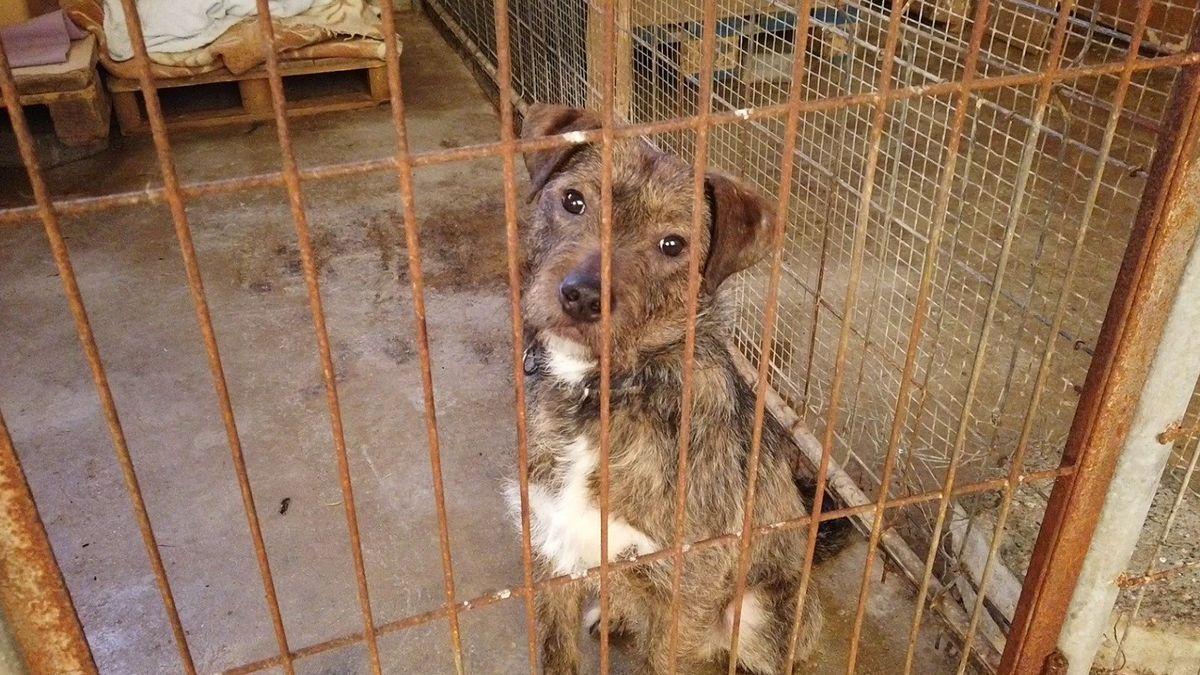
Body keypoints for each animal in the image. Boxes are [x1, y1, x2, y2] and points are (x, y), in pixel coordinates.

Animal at [511, 103, 849, 672]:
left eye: (673, 244)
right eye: (574, 201)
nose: (582, 297)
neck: (603, 393)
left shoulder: (684, 591)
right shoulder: (552, 550)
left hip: (755, 612)